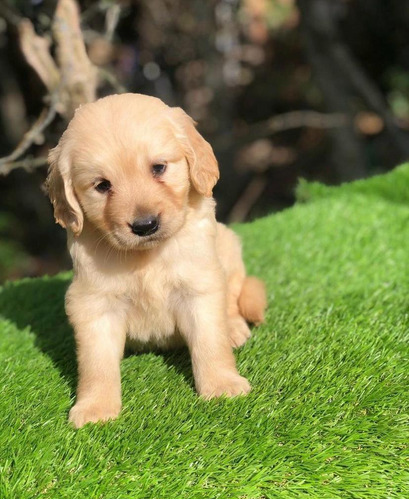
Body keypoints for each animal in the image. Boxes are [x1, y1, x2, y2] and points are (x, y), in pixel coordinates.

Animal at [46, 94, 266, 430]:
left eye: (158, 168)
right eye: (102, 185)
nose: (145, 225)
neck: (145, 258)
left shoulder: (199, 285)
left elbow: (210, 340)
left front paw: (221, 384)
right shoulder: (93, 304)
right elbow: (96, 362)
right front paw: (96, 407)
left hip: (227, 247)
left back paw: (234, 328)